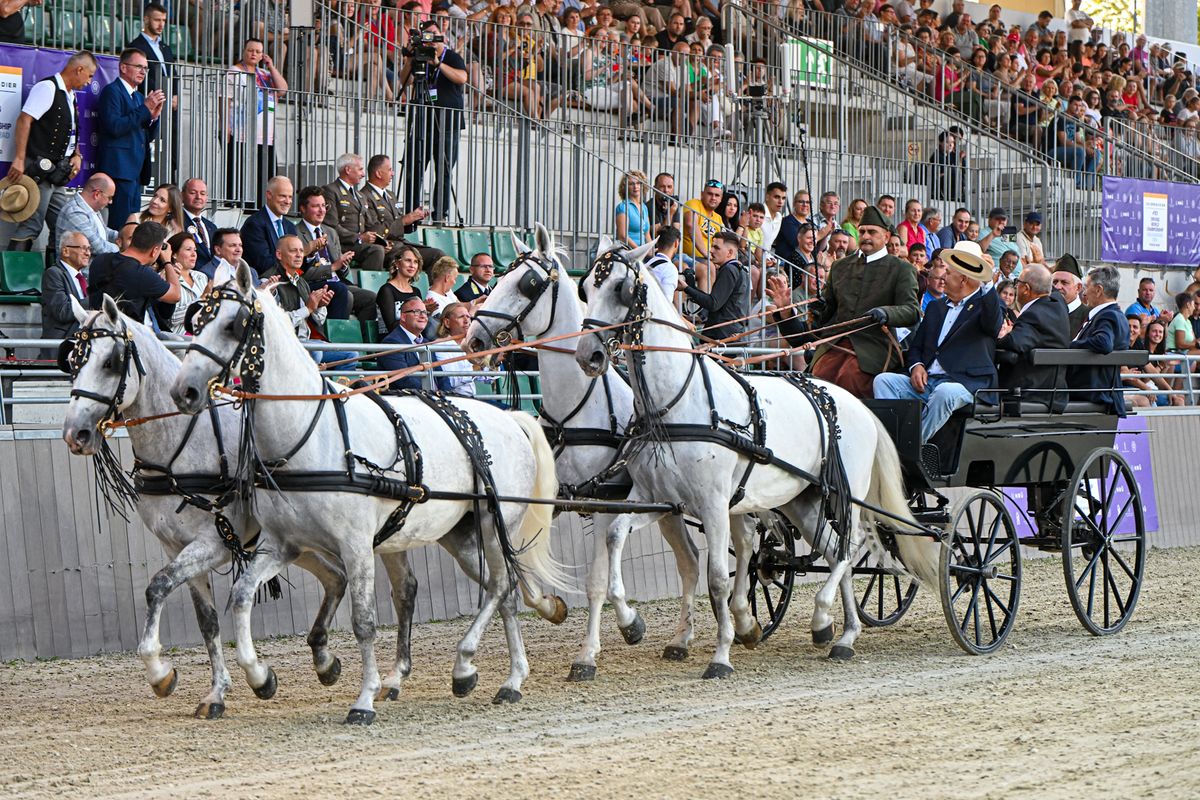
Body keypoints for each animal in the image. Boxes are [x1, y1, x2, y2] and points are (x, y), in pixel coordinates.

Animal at [59, 298, 374, 719]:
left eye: (110, 362)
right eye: (73, 361)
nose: (74, 434)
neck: (180, 445)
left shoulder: (213, 543)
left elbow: (157, 587)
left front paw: (160, 673)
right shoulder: (176, 547)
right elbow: (206, 621)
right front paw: (216, 693)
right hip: (300, 540)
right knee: (336, 577)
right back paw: (324, 662)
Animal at [169, 268, 571, 724]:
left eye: (232, 325)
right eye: (197, 322)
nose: (184, 391)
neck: (311, 433)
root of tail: (509, 418)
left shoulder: (356, 545)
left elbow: (363, 621)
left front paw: (363, 699)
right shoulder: (281, 545)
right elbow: (240, 596)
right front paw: (260, 676)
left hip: (492, 520)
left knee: (502, 586)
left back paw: (481, 669)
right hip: (459, 534)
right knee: (503, 590)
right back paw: (500, 675)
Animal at [460, 225, 700, 681]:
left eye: (527, 284)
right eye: (495, 277)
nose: (474, 338)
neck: (577, 406)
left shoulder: (608, 504)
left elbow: (597, 581)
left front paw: (603, 644)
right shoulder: (555, 500)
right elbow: (523, 565)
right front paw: (551, 607)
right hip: (670, 508)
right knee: (691, 559)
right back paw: (684, 637)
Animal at [571, 247, 936, 681]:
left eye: (620, 288)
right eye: (586, 287)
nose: (588, 355)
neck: (679, 403)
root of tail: (859, 406)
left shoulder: (713, 505)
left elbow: (716, 579)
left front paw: (721, 656)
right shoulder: (657, 499)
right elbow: (615, 536)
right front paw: (630, 623)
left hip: (843, 495)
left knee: (853, 545)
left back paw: (823, 618)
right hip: (802, 501)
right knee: (836, 551)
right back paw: (842, 633)